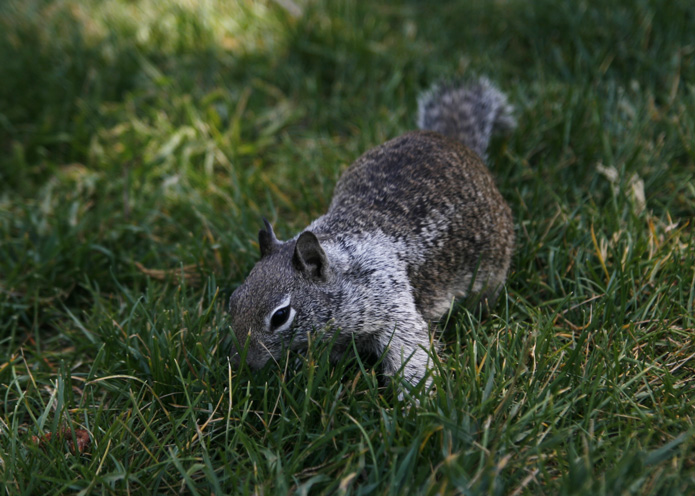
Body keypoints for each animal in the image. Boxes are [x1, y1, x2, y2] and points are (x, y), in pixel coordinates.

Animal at [228, 77, 515, 392]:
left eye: (280, 316)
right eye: (233, 299)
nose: (243, 364)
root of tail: (456, 143)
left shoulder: (391, 304)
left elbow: (410, 349)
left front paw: (419, 396)